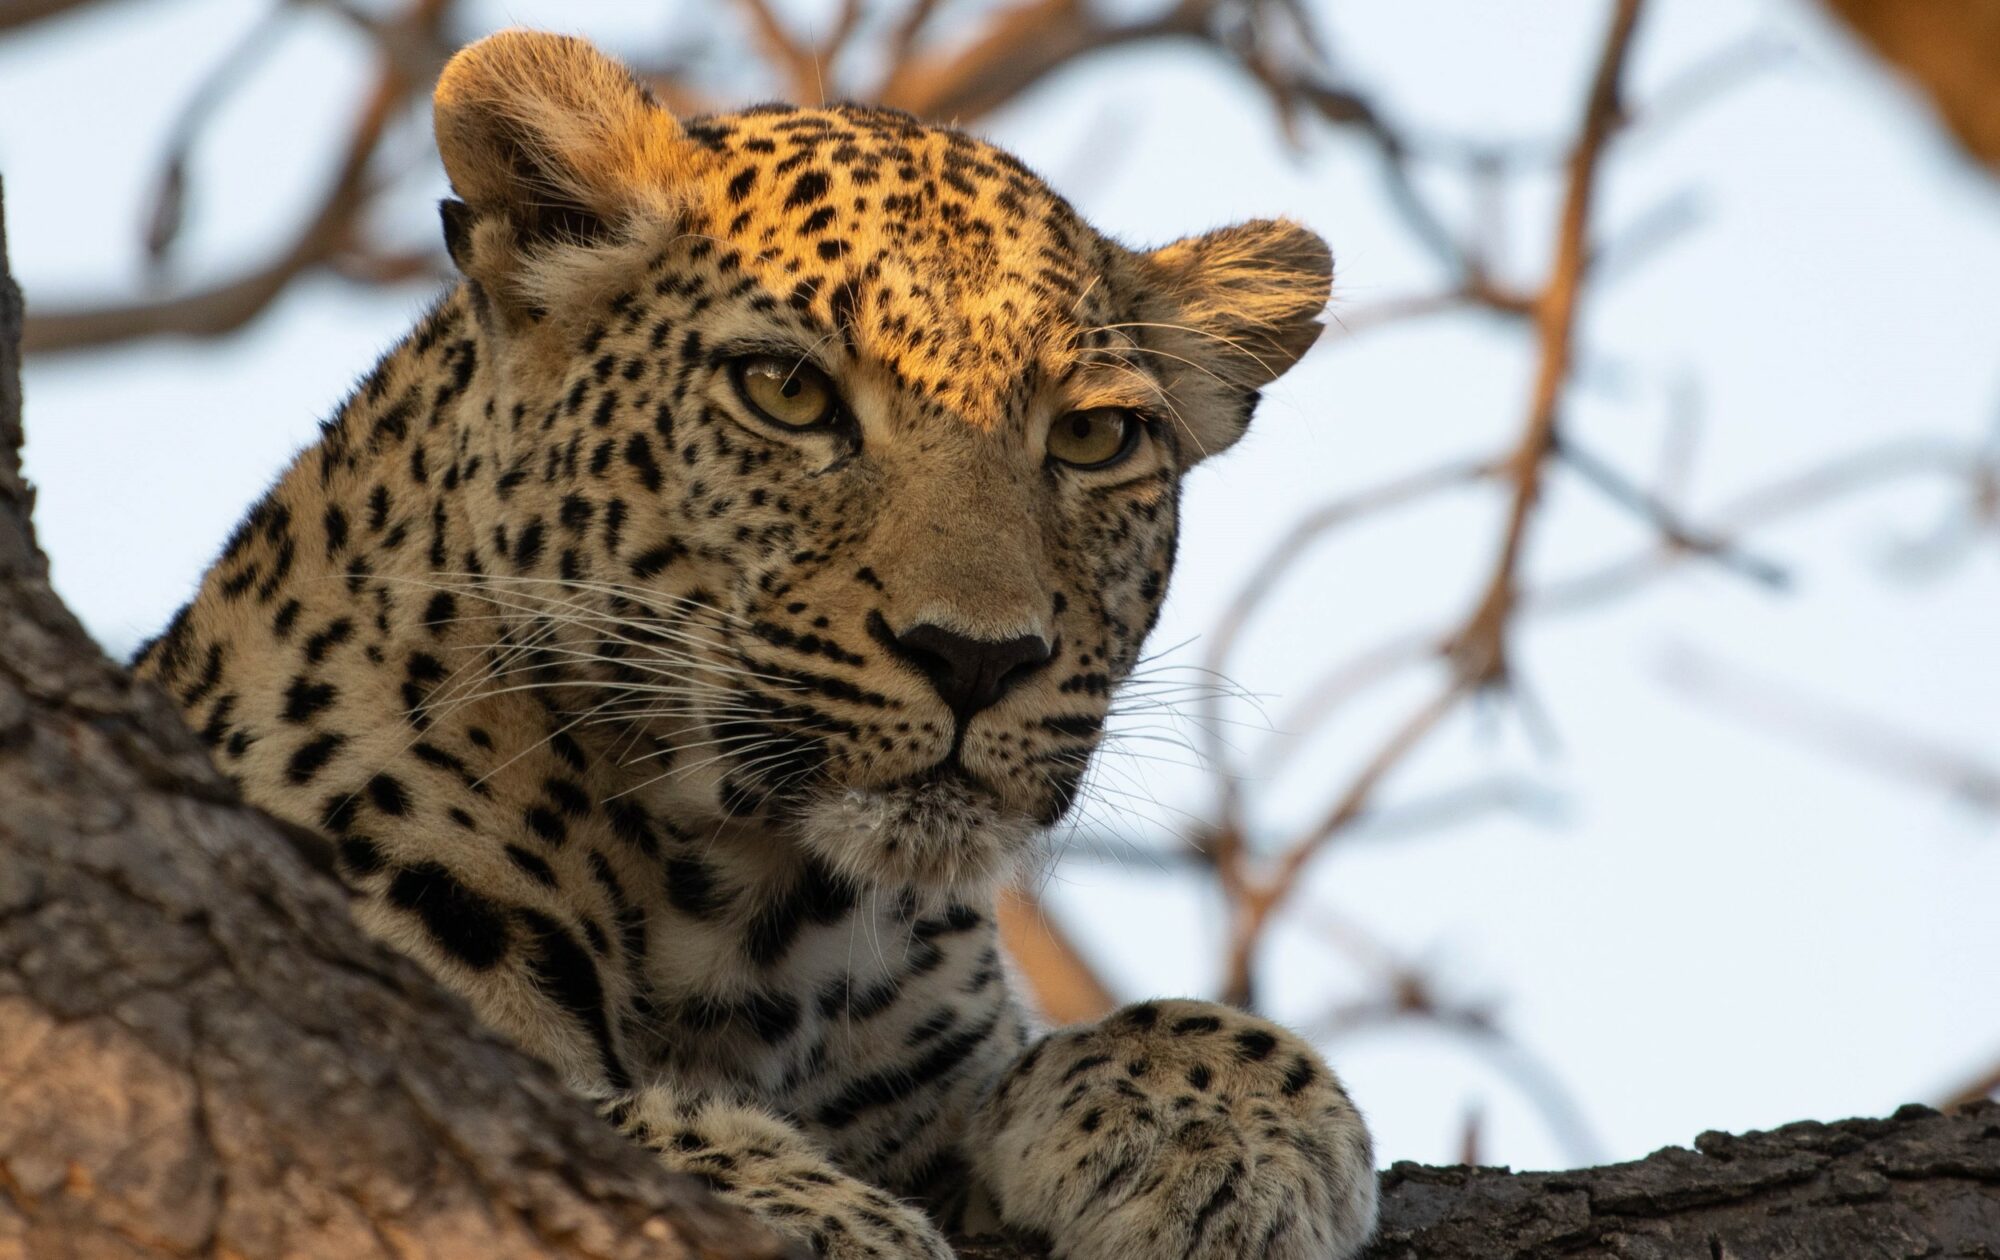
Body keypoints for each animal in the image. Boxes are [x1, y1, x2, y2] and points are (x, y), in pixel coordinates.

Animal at [133, 29, 1375, 1260]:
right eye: (785, 391)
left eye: (1093, 436)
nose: (976, 659)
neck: (753, 919)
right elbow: (593, 1123)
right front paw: (821, 1210)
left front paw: (1227, 1117)